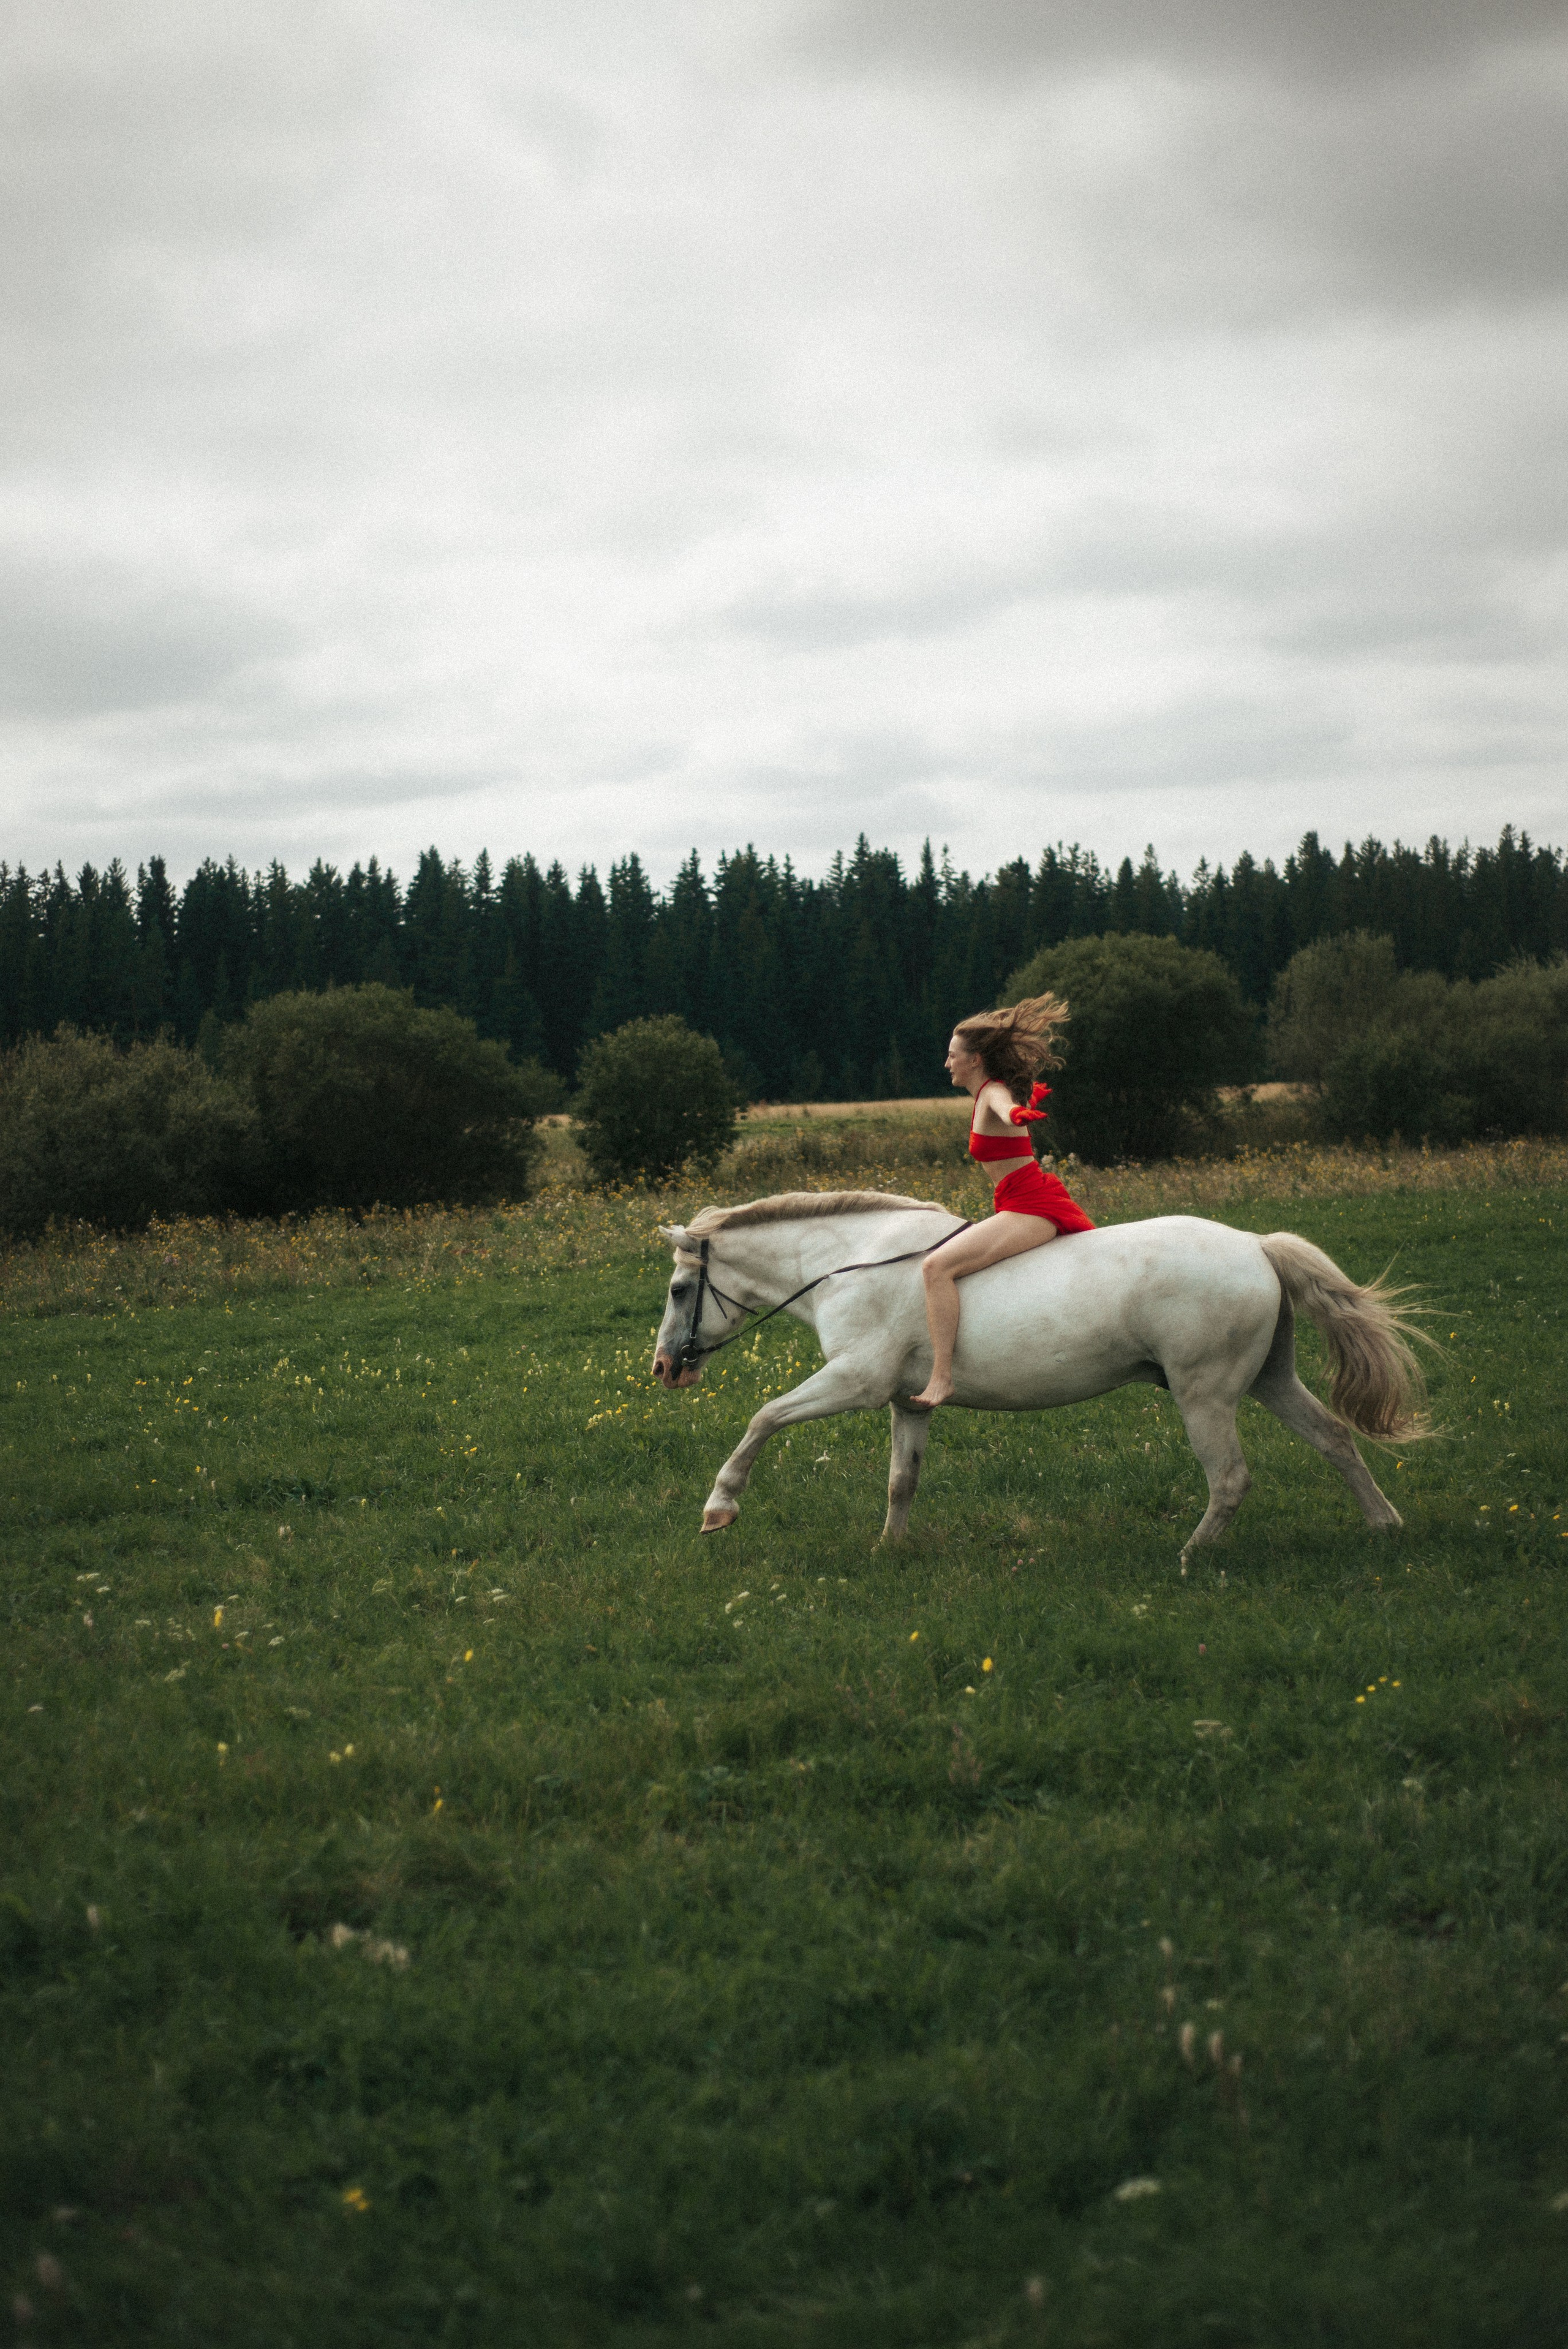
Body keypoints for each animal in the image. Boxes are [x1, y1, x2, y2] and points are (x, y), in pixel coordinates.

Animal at [650, 1190, 1428, 1560]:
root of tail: (1257, 1246)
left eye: (679, 1290)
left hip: (1203, 1392)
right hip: (1269, 1378)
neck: (849, 1263)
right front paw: (889, 1549)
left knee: (1230, 1479)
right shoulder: (907, 1402)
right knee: (1333, 1437)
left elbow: (763, 1418)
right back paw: (1384, 1525)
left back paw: (1190, 1554)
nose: (664, 1368)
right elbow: (902, 1480)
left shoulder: (854, 1382)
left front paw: (719, 1507)